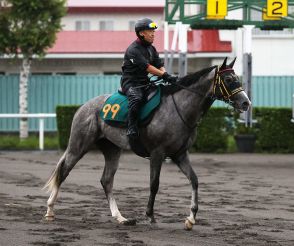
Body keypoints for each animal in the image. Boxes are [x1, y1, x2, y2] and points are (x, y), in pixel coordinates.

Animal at [43, 57, 250, 231]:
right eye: (229, 80)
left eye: (237, 79)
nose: (246, 103)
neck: (180, 109)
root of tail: (84, 107)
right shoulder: (157, 154)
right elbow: (154, 184)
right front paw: (150, 215)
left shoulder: (180, 154)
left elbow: (194, 180)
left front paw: (191, 218)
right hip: (78, 146)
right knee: (63, 172)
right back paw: (50, 210)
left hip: (112, 150)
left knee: (106, 180)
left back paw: (121, 218)